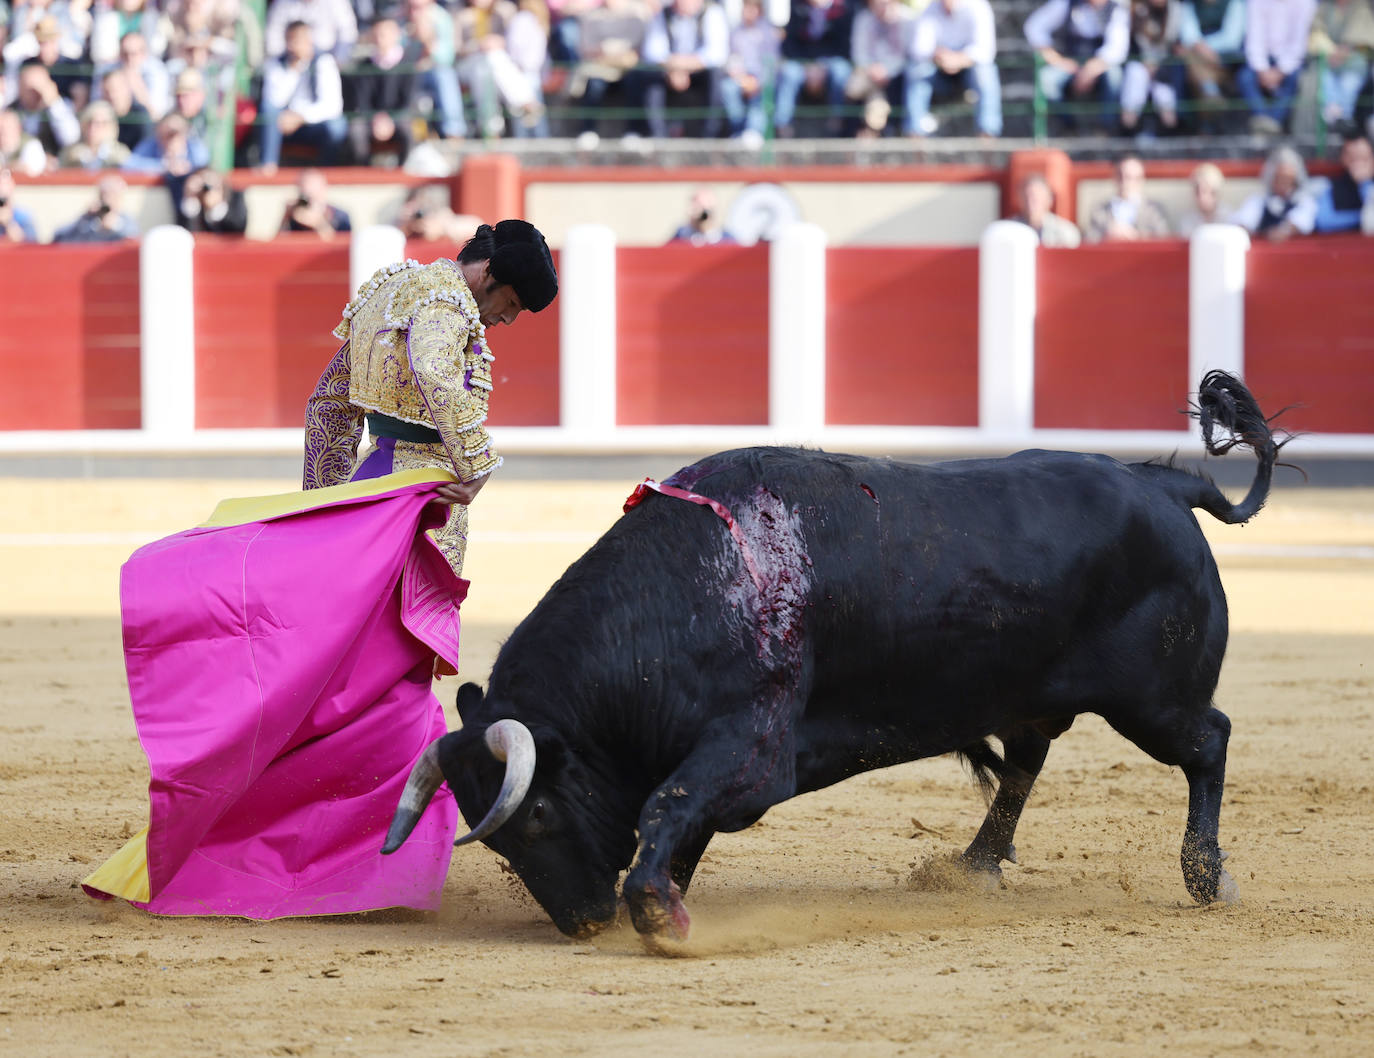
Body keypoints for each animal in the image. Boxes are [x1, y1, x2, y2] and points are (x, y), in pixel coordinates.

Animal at [384, 370, 1275, 939]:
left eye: (536, 813)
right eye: (498, 836)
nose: (583, 922)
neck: (680, 594)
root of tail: (1161, 487)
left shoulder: (752, 748)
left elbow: (668, 806)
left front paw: (658, 916)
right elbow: (678, 818)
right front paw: (664, 898)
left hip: (1154, 701)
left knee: (1210, 741)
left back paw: (1206, 878)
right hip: (1033, 694)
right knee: (1025, 764)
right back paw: (972, 867)